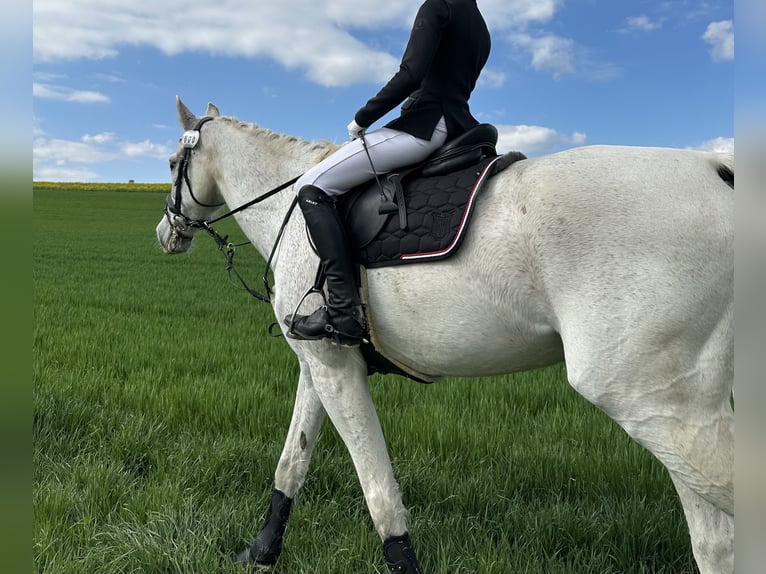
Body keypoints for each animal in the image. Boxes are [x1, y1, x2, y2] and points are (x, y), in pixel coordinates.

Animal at [156, 97, 734, 574]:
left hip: (652, 401)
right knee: (714, 541)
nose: (166, 234)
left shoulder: (336, 372)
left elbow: (379, 493)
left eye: (171, 165)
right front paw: (261, 552)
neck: (292, 207)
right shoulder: (320, 365)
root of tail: (718, 168)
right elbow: (291, 463)